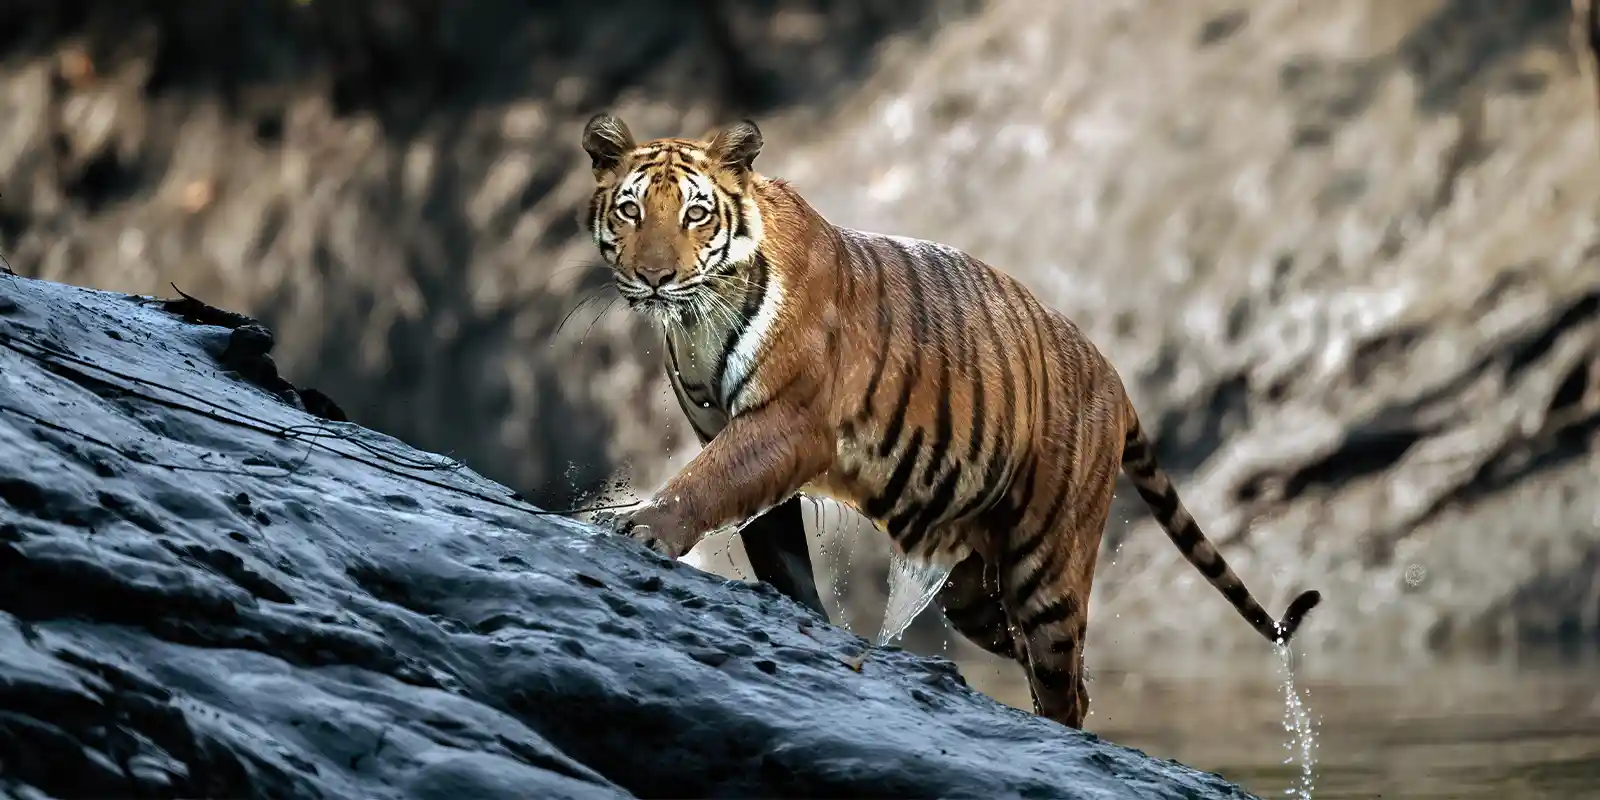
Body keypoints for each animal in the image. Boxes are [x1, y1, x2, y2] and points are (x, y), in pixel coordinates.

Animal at [579, 113, 1322, 729]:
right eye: (631, 209)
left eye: (697, 214)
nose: (654, 277)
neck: (695, 320)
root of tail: (1114, 375)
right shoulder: (733, 433)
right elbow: (779, 553)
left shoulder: (786, 422)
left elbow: (708, 482)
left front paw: (639, 526)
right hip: (974, 589)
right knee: (1041, 661)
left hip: (1047, 569)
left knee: (1066, 684)